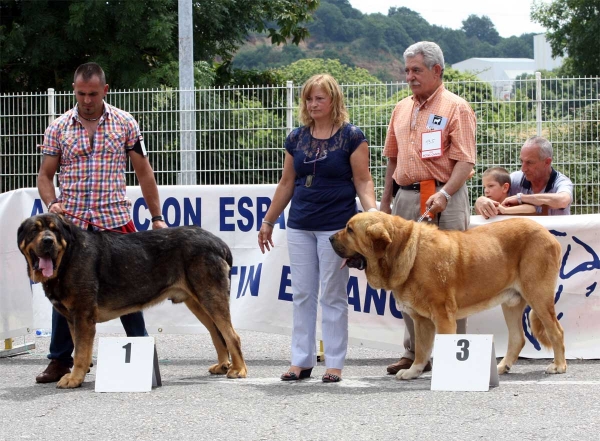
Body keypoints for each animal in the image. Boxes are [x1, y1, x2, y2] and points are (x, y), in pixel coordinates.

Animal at [17, 213, 246, 388]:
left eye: (55, 231)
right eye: (34, 231)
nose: (48, 241)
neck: (67, 258)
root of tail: (218, 243)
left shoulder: (82, 315)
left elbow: (81, 351)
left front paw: (74, 378)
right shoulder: (73, 318)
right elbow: (79, 348)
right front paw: (78, 374)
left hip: (210, 296)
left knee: (232, 335)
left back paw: (238, 370)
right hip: (197, 302)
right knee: (217, 334)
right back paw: (223, 365)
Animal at [328, 211, 568, 380]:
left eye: (350, 230)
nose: (329, 237)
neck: (402, 251)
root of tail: (548, 234)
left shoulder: (442, 316)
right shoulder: (421, 320)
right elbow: (421, 349)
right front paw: (413, 371)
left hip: (538, 297)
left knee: (556, 331)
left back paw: (558, 365)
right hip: (511, 303)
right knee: (518, 337)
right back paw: (502, 367)